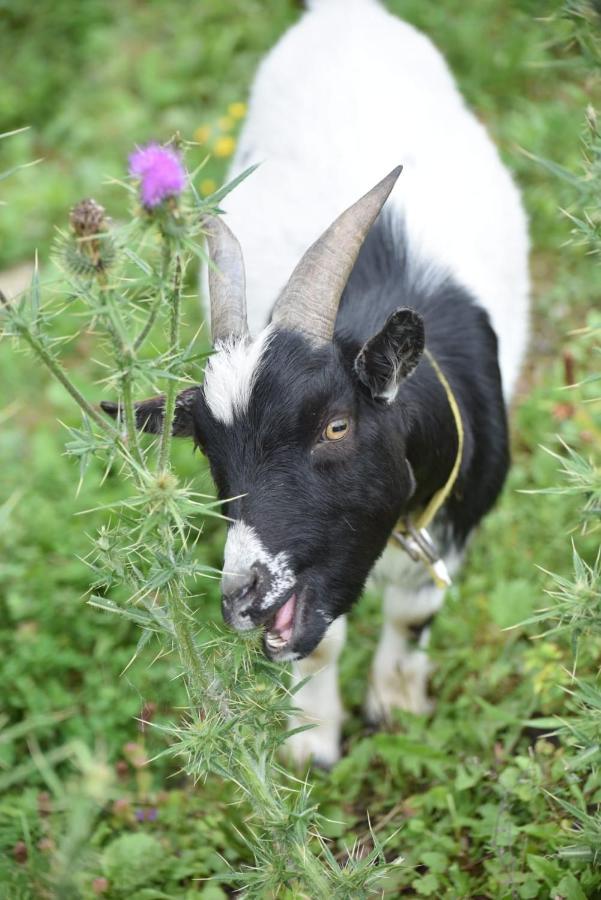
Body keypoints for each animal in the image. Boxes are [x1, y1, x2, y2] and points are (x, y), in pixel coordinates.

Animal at [105, 0, 528, 768]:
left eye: (336, 425)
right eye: (207, 449)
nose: (243, 598)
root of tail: (343, 13)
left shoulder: (459, 513)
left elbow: (412, 613)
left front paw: (395, 707)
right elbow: (321, 644)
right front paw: (311, 739)